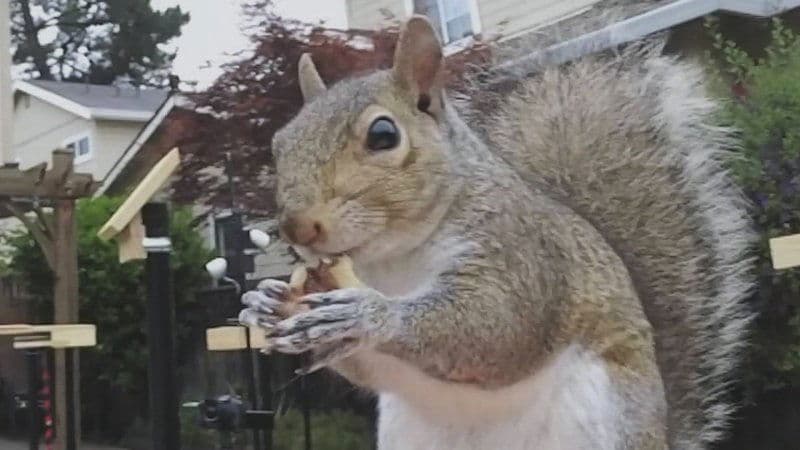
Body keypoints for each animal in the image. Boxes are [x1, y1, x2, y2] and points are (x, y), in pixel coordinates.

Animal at [238, 15, 755, 450]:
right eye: (279, 143)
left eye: (384, 135)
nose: (297, 225)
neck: (393, 260)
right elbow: (364, 367)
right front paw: (264, 301)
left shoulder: (521, 252)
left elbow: (498, 325)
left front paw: (369, 315)